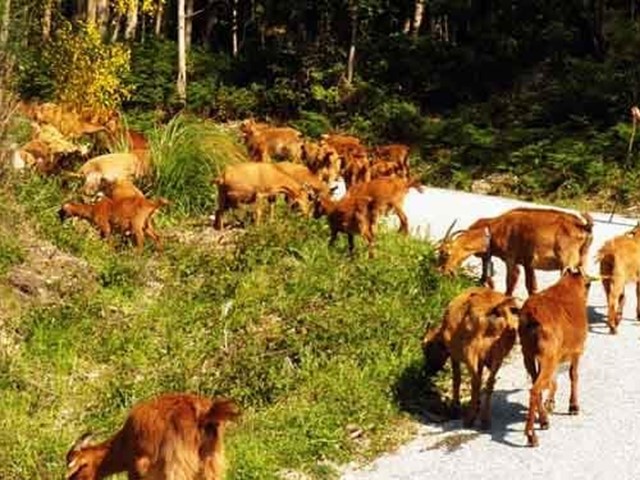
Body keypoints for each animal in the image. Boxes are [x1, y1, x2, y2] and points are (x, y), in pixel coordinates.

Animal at [420, 286, 520, 430]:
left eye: (426, 349)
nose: (428, 370)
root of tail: (494, 310)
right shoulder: (482, 360)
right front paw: (476, 402)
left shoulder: (454, 355)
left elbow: (457, 379)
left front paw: (455, 408)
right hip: (498, 354)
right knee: (489, 382)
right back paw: (484, 419)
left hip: (470, 351)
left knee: (476, 381)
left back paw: (470, 418)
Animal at [438, 209, 592, 296]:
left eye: (445, 253)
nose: (445, 272)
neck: (493, 229)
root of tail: (583, 226)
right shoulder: (528, 263)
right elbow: (531, 287)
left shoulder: (511, 258)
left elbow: (511, 281)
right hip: (582, 260)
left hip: (567, 261)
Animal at [520, 266, 592, 446]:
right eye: (588, 284)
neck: (569, 287)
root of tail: (531, 317)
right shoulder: (577, 350)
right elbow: (573, 375)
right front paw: (573, 406)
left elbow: (554, 380)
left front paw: (551, 404)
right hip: (547, 356)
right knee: (535, 389)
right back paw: (532, 435)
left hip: (528, 354)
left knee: (536, 384)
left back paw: (544, 420)